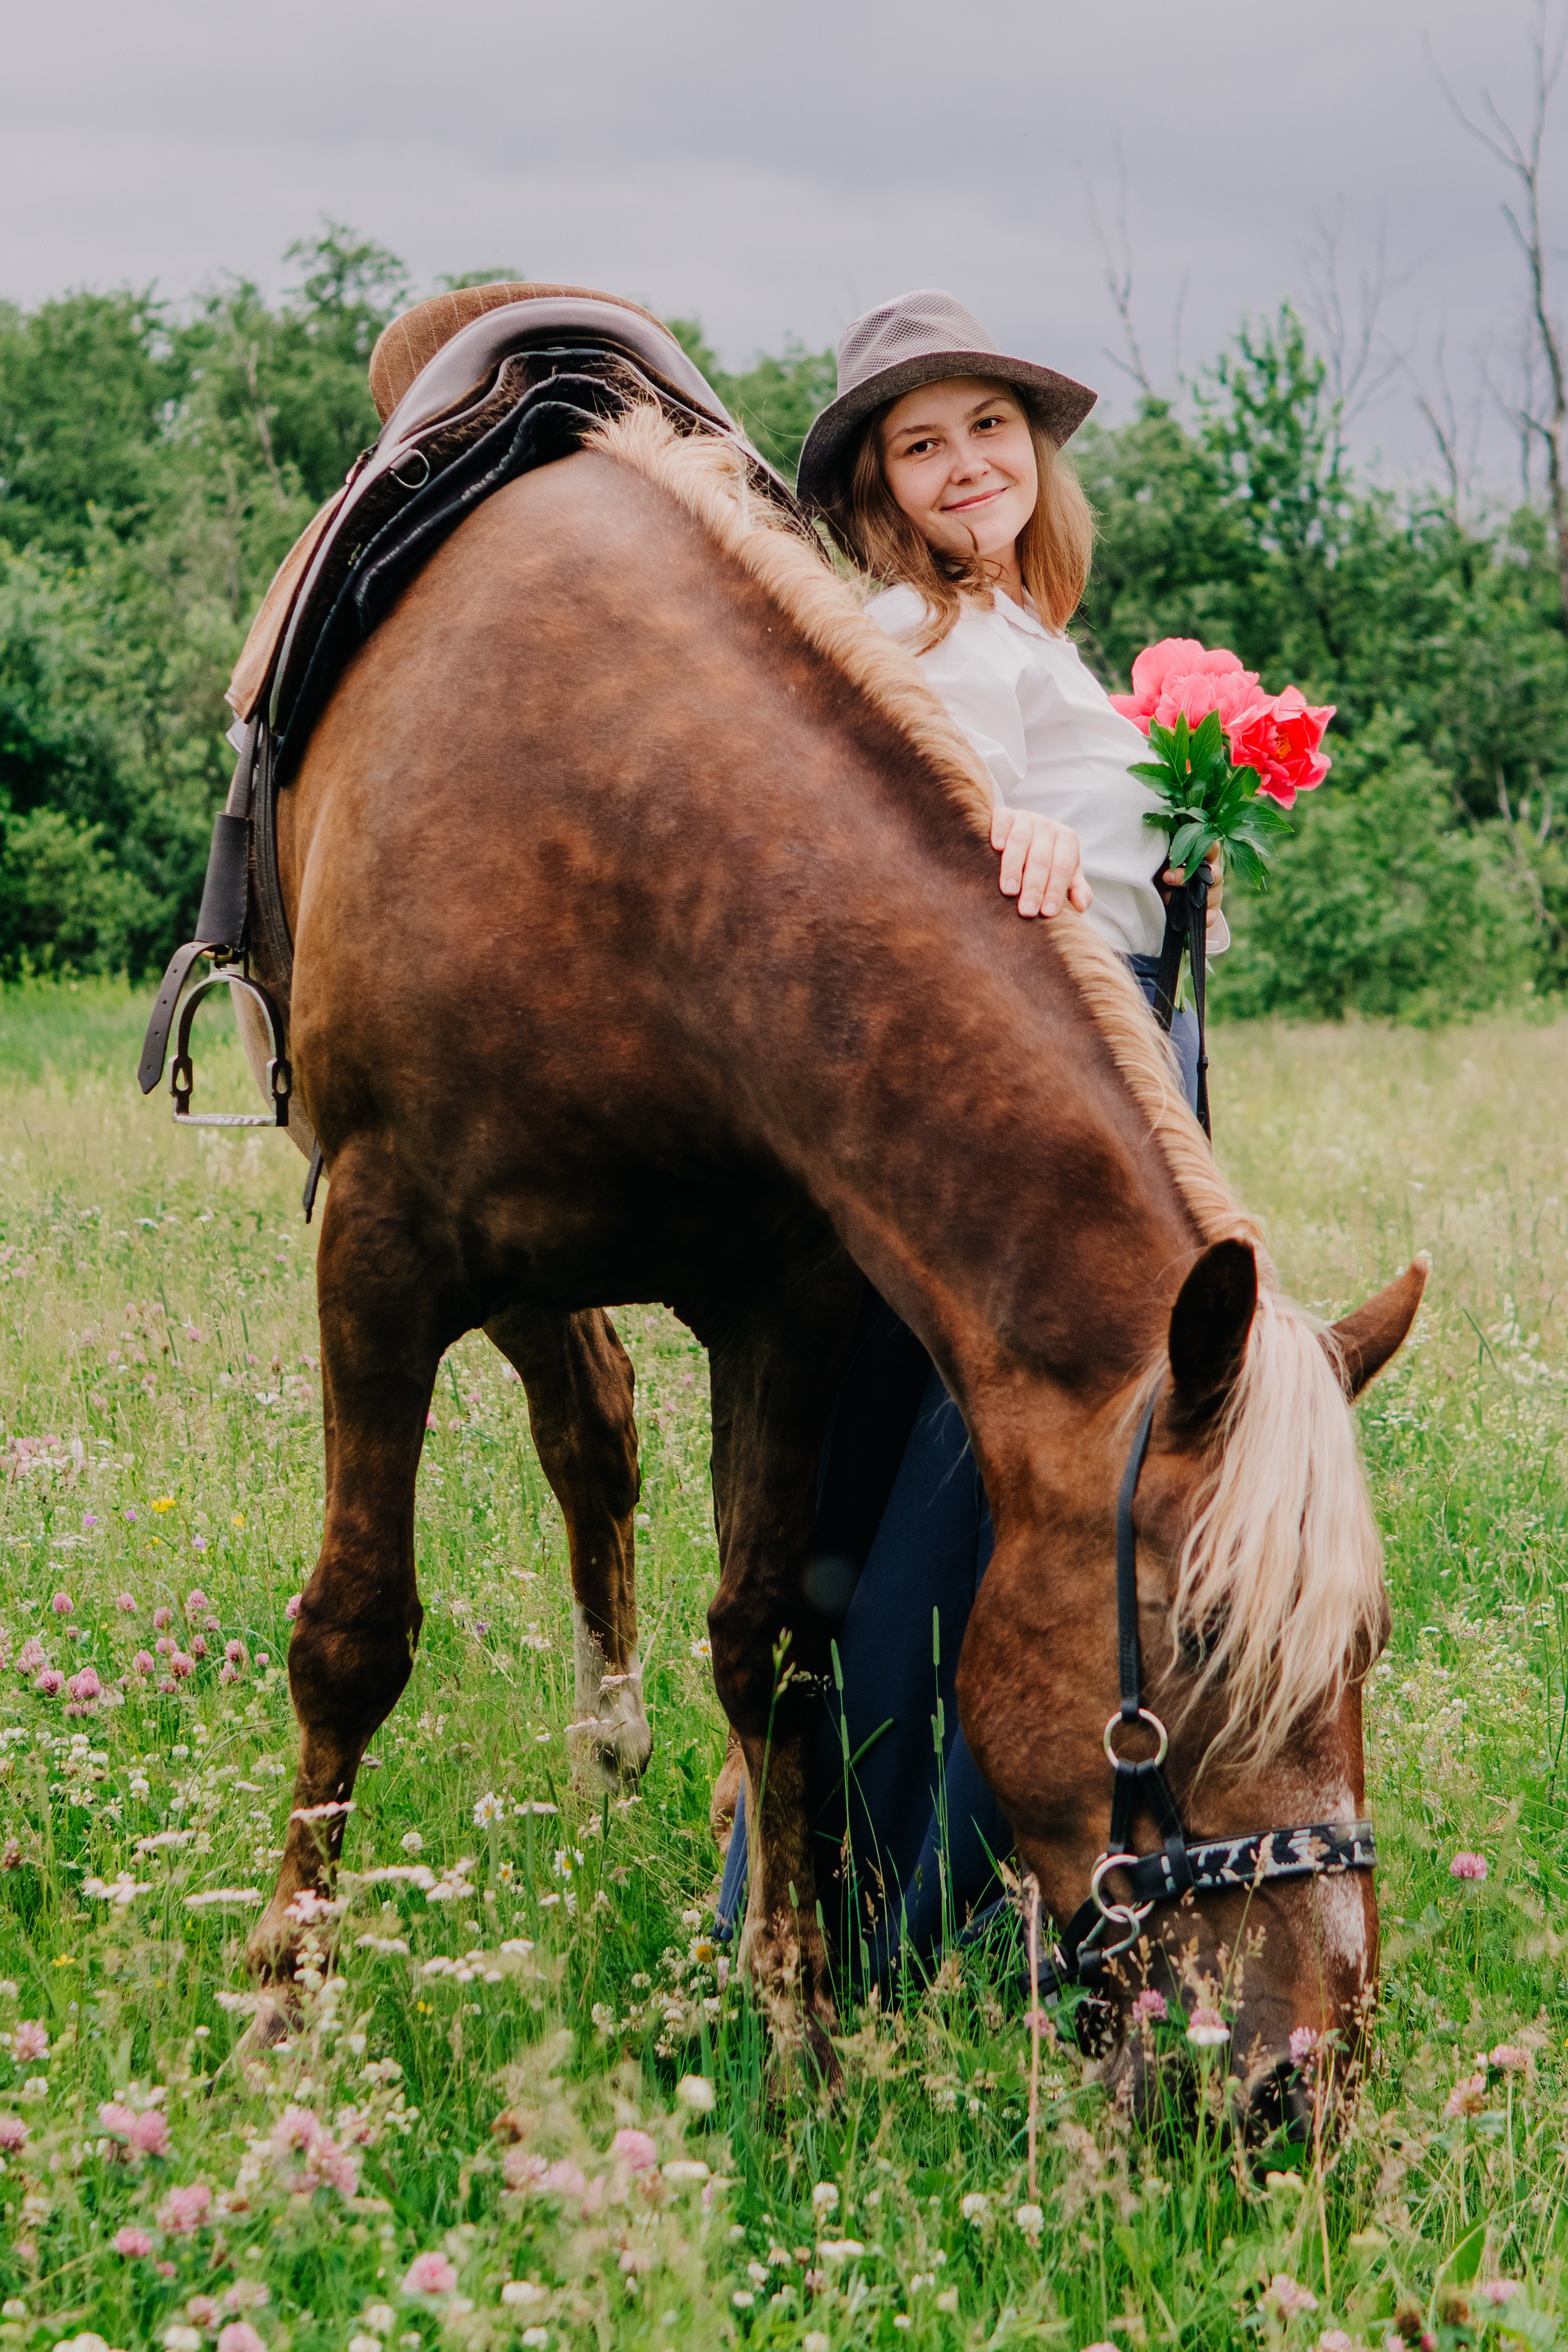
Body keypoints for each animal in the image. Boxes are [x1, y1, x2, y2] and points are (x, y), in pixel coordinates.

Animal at [237, 401, 1423, 2119]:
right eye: (1200, 1640)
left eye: (1365, 1646)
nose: (1302, 2077)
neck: (635, 826)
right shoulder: (381, 1252)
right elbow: (350, 1633)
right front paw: (284, 2005)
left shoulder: (788, 1299)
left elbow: (774, 1646)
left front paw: (792, 2016)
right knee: (574, 1444)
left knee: (595, 1440)